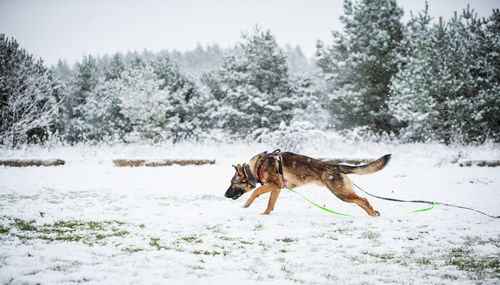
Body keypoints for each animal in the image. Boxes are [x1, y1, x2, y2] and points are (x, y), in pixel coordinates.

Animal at [225, 151, 392, 215]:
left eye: (232, 183)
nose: (225, 195)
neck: (254, 169)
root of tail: (334, 166)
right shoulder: (276, 188)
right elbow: (270, 203)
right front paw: (265, 214)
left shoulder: (274, 184)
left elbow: (256, 191)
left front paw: (248, 203)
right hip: (344, 193)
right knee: (361, 200)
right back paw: (372, 212)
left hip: (341, 193)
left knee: (363, 199)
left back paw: (372, 213)